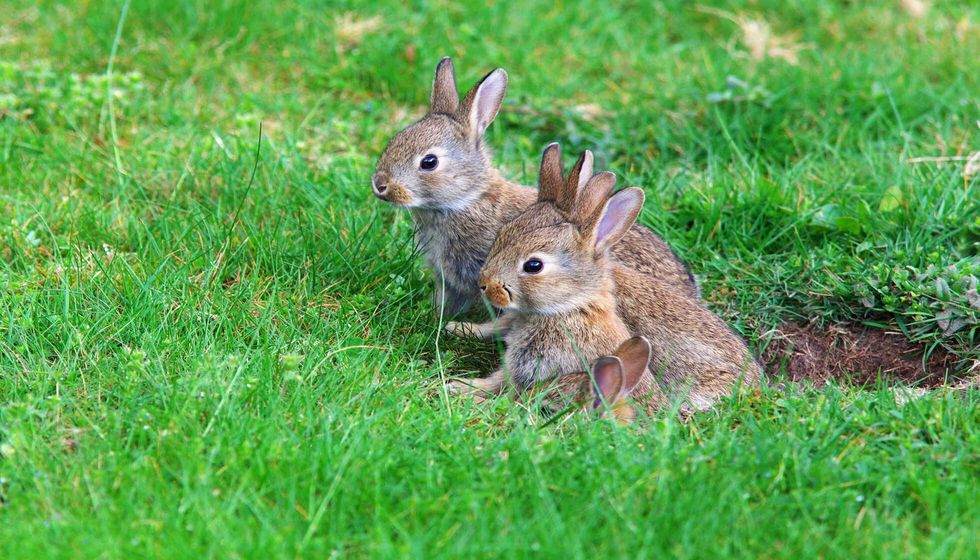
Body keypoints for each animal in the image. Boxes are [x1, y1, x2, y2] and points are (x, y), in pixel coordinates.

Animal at [447, 149, 667, 414]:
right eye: (502, 234)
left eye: (533, 266)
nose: (485, 285)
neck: (568, 308)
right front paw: (456, 331)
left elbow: (505, 393)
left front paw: (461, 390)